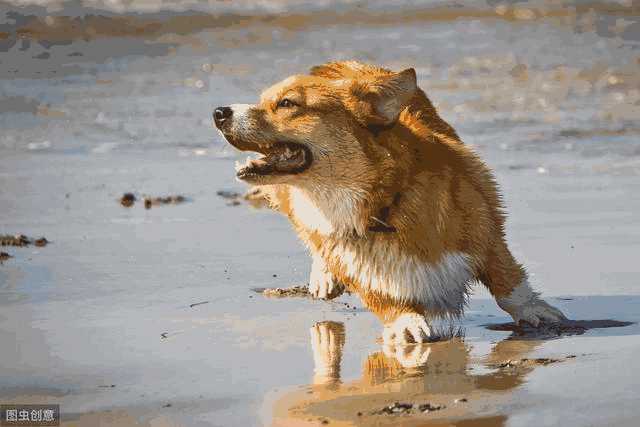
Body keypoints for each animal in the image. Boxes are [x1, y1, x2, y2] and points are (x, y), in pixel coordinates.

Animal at [214, 60, 564, 344]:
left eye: (287, 103)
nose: (218, 113)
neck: (376, 207)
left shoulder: (486, 230)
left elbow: (508, 280)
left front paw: (536, 310)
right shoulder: (358, 267)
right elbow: (384, 298)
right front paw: (405, 323)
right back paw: (323, 279)